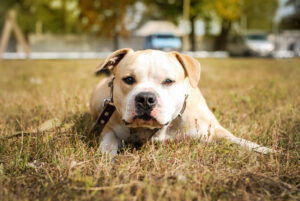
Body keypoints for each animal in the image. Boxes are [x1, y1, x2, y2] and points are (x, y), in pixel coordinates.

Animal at [89, 48, 274, 155]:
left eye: (168, 81)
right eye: (128, 79)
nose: (146, 99)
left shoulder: (215, 130)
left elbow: (240, 141)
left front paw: (267, 151)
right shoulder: (109, 129)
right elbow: (108, 143)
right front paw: (106, 157)